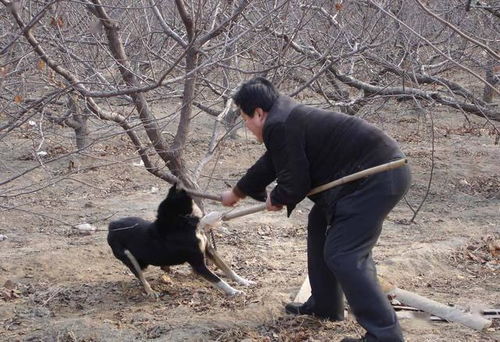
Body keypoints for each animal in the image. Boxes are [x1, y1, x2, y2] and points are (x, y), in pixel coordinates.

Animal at [106, 183, 254, 298]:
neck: (183, 221)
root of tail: (111, 225)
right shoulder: (198, 264)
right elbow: (218, 280)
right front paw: (234, 292)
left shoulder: (209, 250)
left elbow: (228, 269)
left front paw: (244, 281)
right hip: (128, 257)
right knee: (140, 277)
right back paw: (150, 291)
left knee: (160, 267)